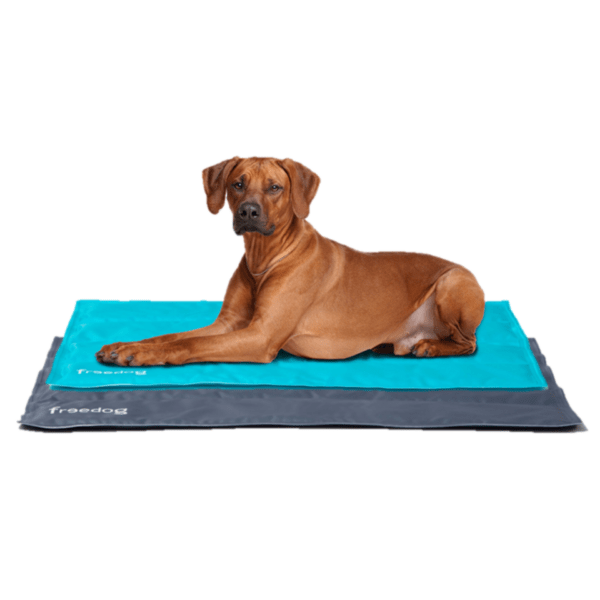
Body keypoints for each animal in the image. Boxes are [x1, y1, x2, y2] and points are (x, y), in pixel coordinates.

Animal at [96, 157, 485, 367]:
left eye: (274, 187)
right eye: (237, 184)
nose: (248, 212)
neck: (264, 258)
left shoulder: (261, 336)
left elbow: (189, 345)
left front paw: (143, 355)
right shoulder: (229, 324)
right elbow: (170, 335)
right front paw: (124, 346)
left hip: (452, 283)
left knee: (469, 343)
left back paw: (431, 346)